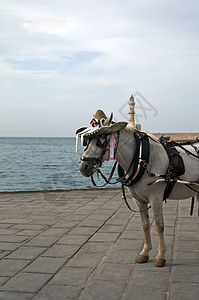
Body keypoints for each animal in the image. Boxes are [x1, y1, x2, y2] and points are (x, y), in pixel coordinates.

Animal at [76, 110, 199, 268]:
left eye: (101, 140)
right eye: (87, 141)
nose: (83, 167)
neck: (143, 158)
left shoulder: (156, 199)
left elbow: (159, 225)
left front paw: (161, 256)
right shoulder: (139, 200)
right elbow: (145, 224)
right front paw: (145, 253)